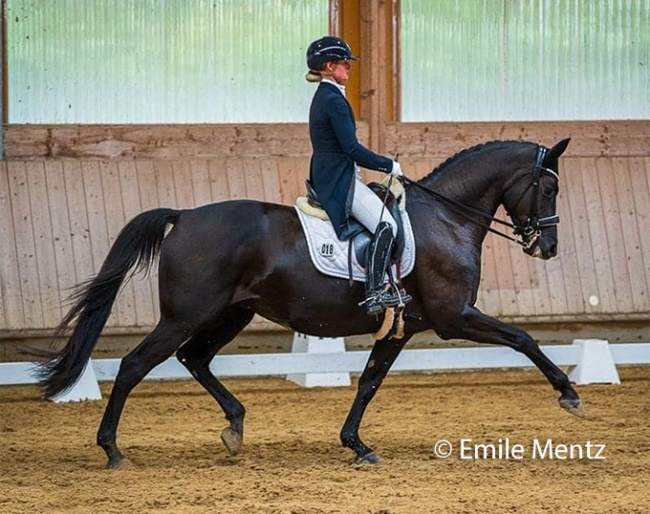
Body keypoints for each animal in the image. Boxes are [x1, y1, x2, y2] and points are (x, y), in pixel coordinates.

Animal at [38, 136, 580, 464]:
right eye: (549, 187)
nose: (549, 247)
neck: (446, 220)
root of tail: (185, 215)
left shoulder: (402, 327)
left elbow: (369, 383)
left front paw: (356, 444)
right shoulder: (454, 318)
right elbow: (522, 338)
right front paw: (568, 394)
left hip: (230, 313)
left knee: (195, 358)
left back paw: (234, 426)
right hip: (185, 315)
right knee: (135, 365)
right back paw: (112, 450)